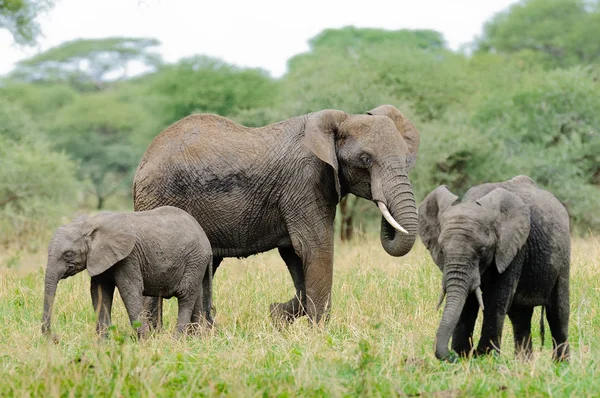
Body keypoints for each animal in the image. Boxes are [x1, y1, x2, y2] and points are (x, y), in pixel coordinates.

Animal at [41, 205, 213, 338]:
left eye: (68, 254)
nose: (54, 337)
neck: (90, 223)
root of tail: (205, 238)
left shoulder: (129, 257)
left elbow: (129, 291)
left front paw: (143, 341)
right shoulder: (100, 258)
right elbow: (100, 293)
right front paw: (103, 343)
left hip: (194, 258)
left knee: (185, 295)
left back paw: (176, 340)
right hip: (197, 263)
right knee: (196, 294)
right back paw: (195, 338)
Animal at [134, 104, 420, 324]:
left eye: (407, 159)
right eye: (366, 160)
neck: (341, 120)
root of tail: (144, 160)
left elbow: (295, 254)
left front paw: (277, 315)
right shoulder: (305, 181)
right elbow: (315, 248)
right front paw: (319, 334)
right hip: (158, 198)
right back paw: (153, 338)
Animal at [420, 176, 568, 362]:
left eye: (482, 250)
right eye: (441, 251)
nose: (451, 355)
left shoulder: (513, 249)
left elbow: (496, 299)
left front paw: (484, 358)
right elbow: (466, 303)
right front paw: (463, 357)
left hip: (562, 259)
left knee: (557, 313)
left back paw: (560, 364)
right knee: (520, 317)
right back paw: (523, 364)